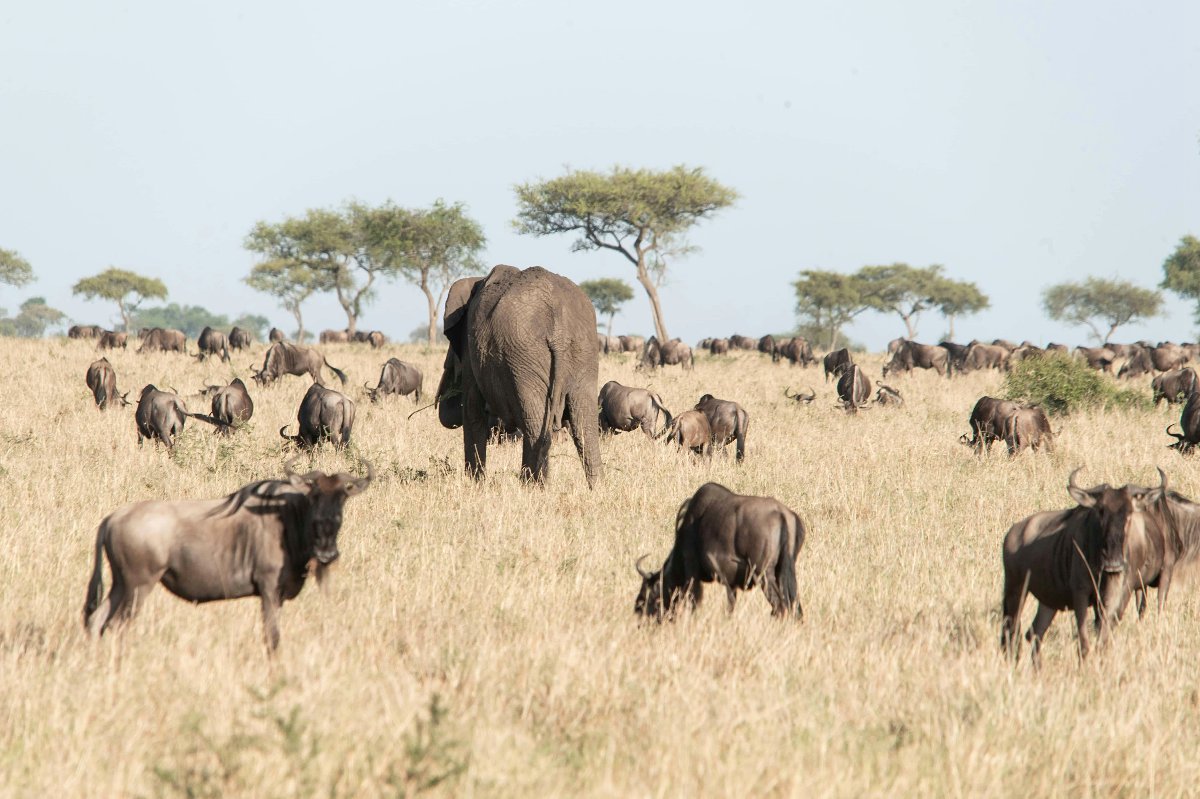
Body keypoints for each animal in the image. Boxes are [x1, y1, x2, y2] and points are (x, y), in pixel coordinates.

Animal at [436, 265, 603, 488]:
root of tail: (559, 330)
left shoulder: (471, 347)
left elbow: (472, 411)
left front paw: (475, 485)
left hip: (524, 355)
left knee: (535, 426)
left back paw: (531, 487)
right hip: (582, 351)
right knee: (585, 425)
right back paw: (595, 489)